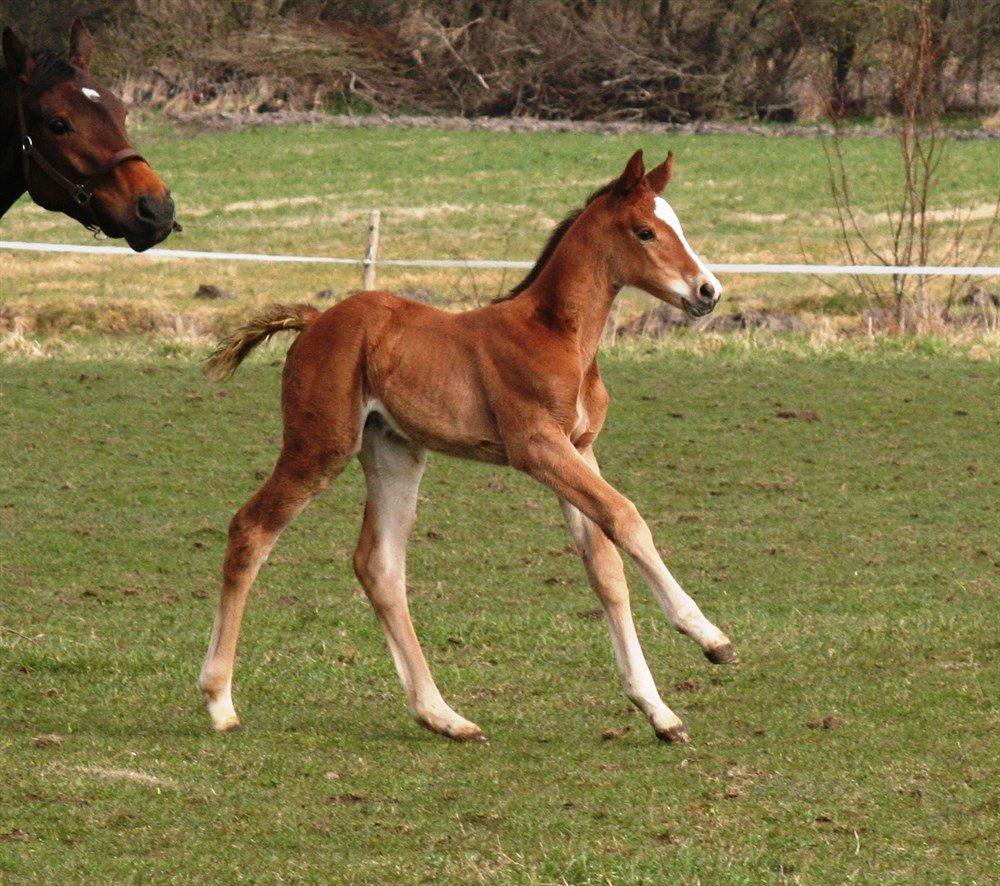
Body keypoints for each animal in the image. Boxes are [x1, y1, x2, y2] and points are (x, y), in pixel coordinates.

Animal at [201, 151, 736, 744]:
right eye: (645, 231)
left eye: (678, 225)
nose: (708, 291)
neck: (558, 334)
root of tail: (316, 321)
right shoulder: (537, 447)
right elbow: (626, 517)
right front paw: (711, 637)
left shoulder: (579, 449)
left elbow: (605, 569)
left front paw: (659, 711)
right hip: (319, 447)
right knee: (252, 529)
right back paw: (220, 702)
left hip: (394, 453)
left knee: (379, 565)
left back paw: (444, 717)